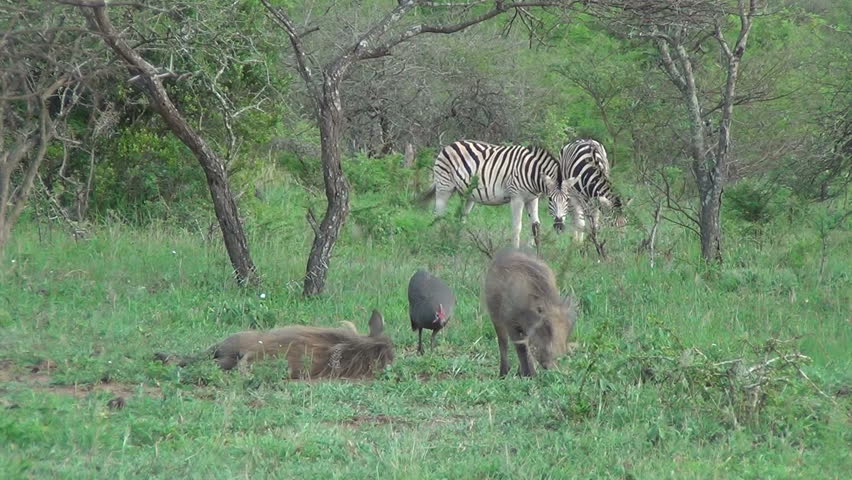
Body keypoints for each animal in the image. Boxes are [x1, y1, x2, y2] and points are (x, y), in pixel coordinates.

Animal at [420, 140, 571, 248]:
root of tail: (450, 145)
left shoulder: (532, 199)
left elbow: (536, 226)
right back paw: (439, 237)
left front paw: (533, 252)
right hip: (444, 186)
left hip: (467, 194)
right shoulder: (517, 198)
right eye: (550, 199)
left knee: (462, 217)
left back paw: (457, 240)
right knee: (438, 213)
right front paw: (515, 251)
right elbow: (517, 227)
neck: (532, 174)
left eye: (568, 200)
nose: (559, 226)